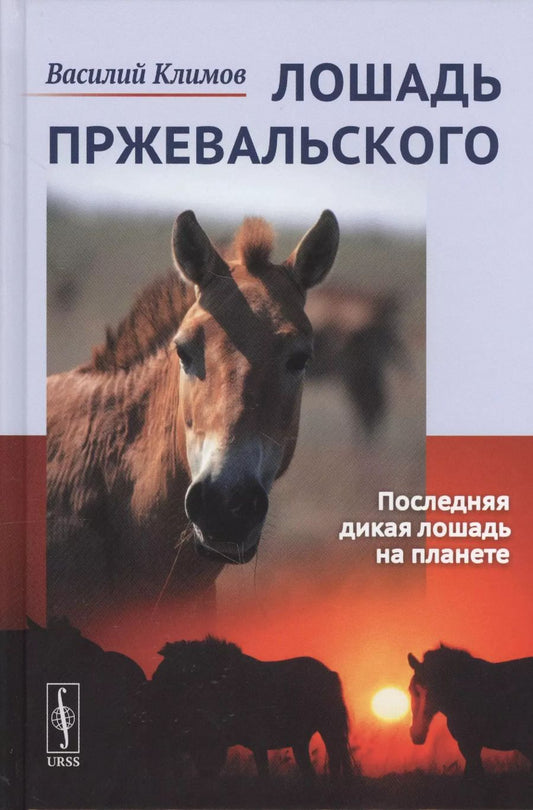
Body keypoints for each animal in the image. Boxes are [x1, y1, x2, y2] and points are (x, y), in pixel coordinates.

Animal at [147, 636, 355, 782]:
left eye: (172, 666)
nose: (153, 684)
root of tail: (330, 673)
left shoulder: (254, 740)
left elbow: (262, 774)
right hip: (301, 739)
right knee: (313, 769)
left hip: (330, 728)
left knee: (338, 759)